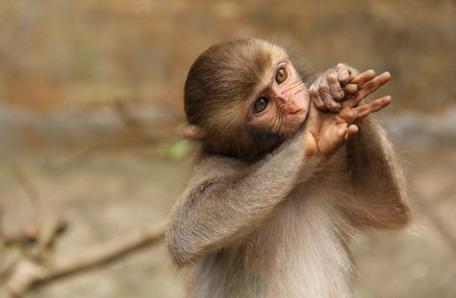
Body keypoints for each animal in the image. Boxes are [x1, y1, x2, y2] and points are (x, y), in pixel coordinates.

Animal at [167, 38, 410, 296]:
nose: (294, 103)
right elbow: (186, 231)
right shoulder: (211, 164)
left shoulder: (332, 172)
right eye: (261, 103)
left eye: (280, 76)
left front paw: (332, 84)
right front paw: (316, 129)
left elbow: (385, 208)